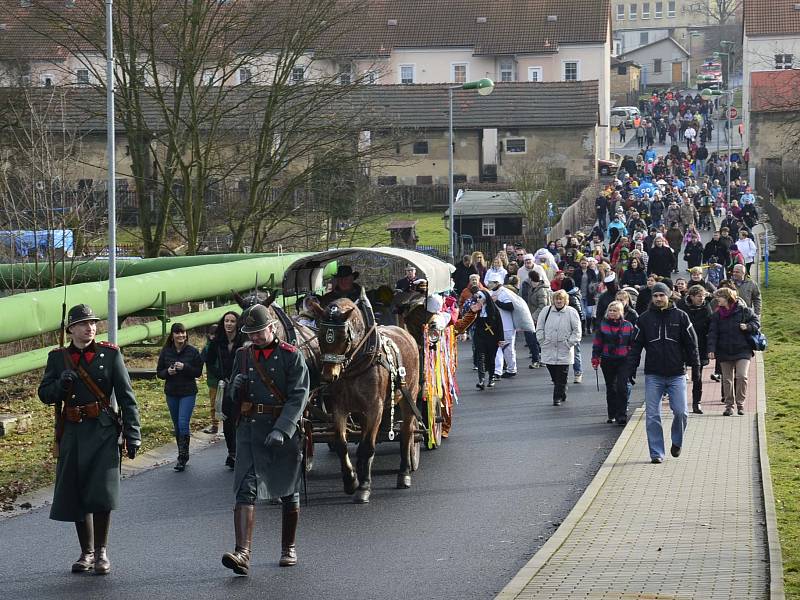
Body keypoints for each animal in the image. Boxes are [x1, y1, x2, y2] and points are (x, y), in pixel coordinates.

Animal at [310, 298, 422, 502]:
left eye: (344, 338)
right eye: (320, 336)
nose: (329, 376)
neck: (357, 364)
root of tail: (405, 332)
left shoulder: (374, 408)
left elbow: (368, 446)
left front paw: (364, 486)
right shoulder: (340, 408)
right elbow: (342, 444)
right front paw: (351, 480)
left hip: (409, 395)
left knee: (407, 433)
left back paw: (404, 474)